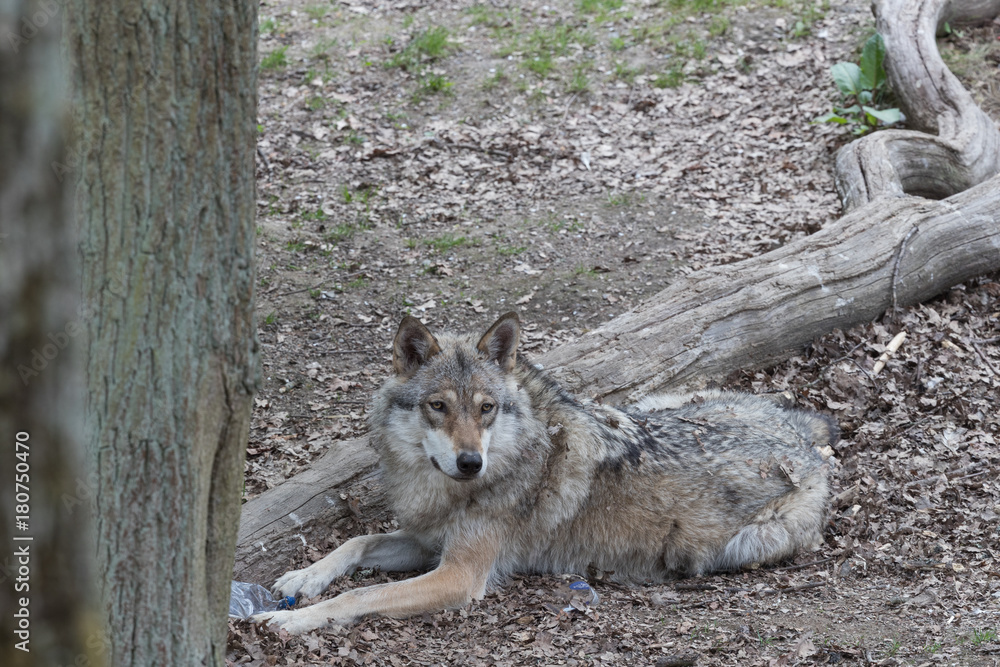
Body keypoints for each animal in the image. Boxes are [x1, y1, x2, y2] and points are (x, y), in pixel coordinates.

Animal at [254, 312, 836, 633]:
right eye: (439, 407)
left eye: (486, 409)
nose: (471, 462)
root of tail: (799, 433)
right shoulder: (427, 542)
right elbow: (356, 544)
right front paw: (302, 579)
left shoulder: (459, 575)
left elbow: (359, 596)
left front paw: (287, 619)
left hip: (740, 547)